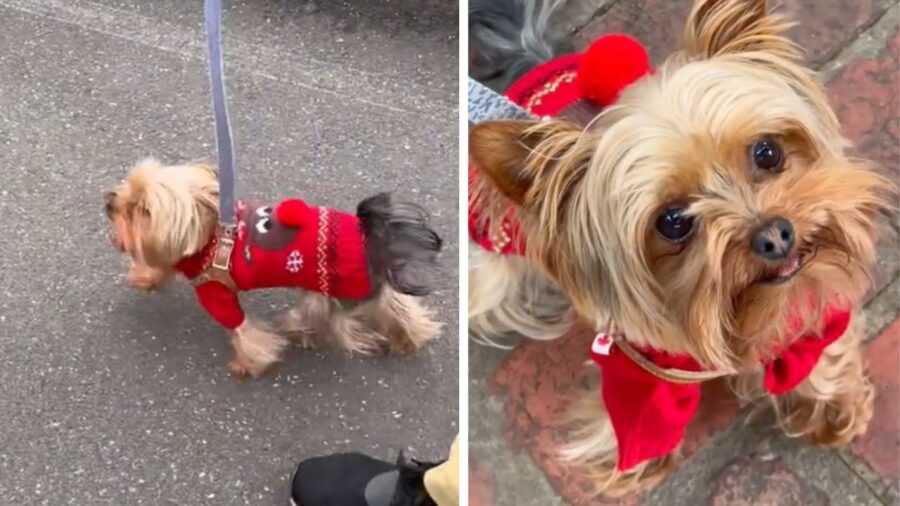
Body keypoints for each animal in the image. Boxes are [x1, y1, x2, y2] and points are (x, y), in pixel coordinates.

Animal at [105, 160, 442, 378]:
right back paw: (409, 339)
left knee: (321, 316)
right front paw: (143, 278)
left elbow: (243, 330)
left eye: (142, 210)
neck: (209, 234)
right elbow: (159, 266)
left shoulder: (216, 292)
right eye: (129, 186)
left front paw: (247, 365)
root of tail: (373, 238)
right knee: (396, 306)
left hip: (330, 289)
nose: (109, 201)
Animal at [472, 0, 892, 498]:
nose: (774, 236)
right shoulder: (638, 366)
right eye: (673, 222)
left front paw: (826, 398)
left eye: (767, 152)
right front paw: (628, 464)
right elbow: (635, 416)